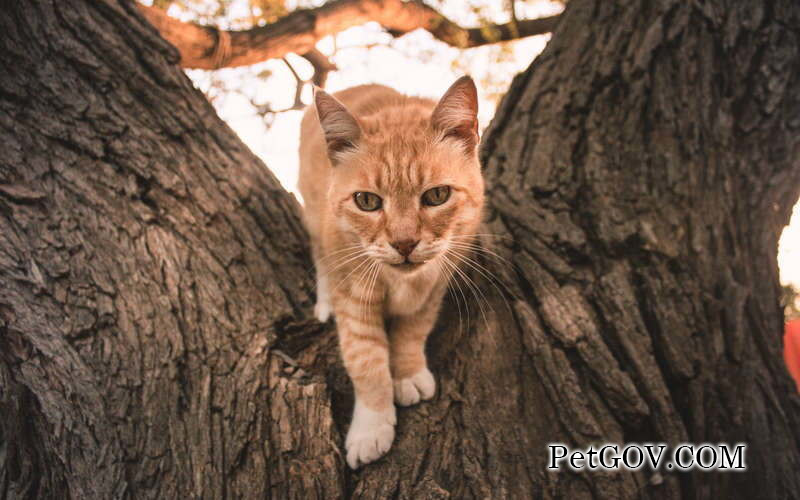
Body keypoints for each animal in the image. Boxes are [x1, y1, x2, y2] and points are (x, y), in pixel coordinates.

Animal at [296, 75, 484, 468]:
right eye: (367, 201)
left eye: (437, 195)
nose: (404, 242)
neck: (403, 281)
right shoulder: (353, 297)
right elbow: (366, 360)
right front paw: (372, 425)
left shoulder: (435, 285)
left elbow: (413, 330)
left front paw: (408, 372)